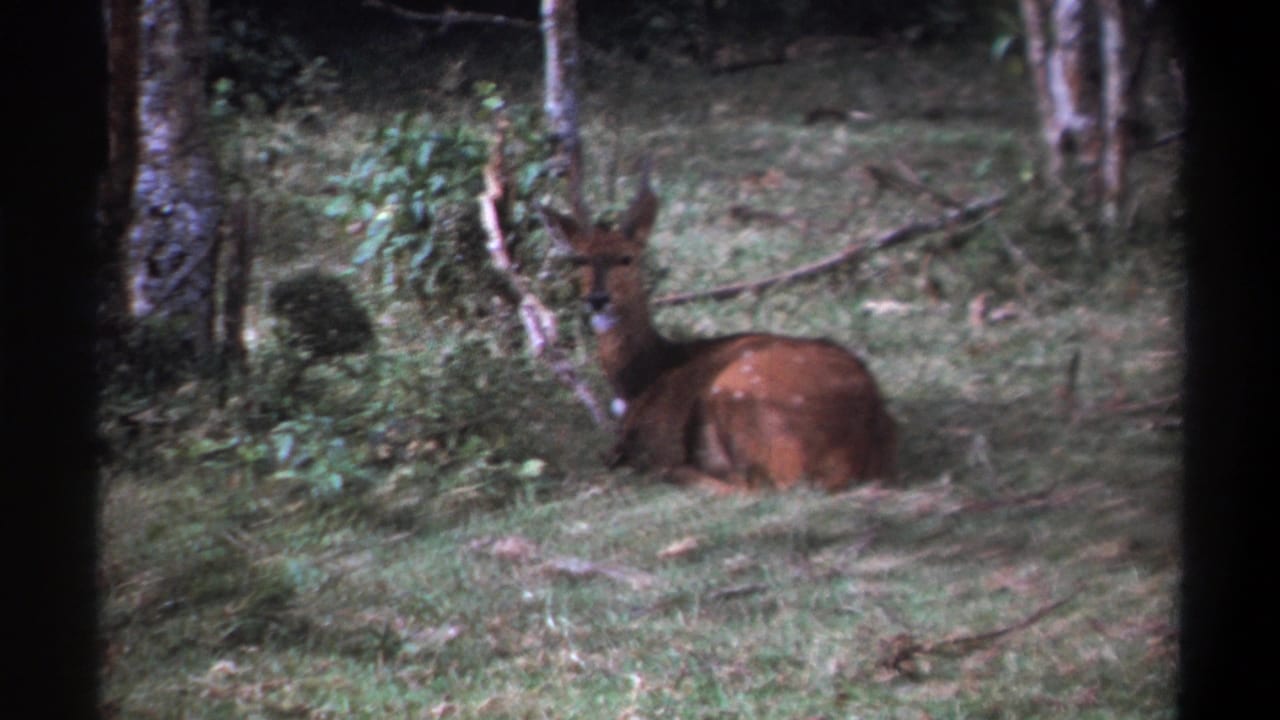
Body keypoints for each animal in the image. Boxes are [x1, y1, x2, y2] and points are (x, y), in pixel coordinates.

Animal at [542, 172, 898, 494]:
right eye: (580, 259)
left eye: (626, 258)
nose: (598, 299)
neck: (645, 376)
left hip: (738, 391)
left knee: (760, 486)